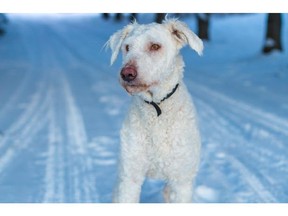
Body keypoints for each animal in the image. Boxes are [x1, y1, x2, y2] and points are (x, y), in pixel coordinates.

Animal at [107, 18, 202, 202]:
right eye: (127, 47)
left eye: (155, 46)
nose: (126, 73)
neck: (157, 108)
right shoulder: (130, 177)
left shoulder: (181, 182)